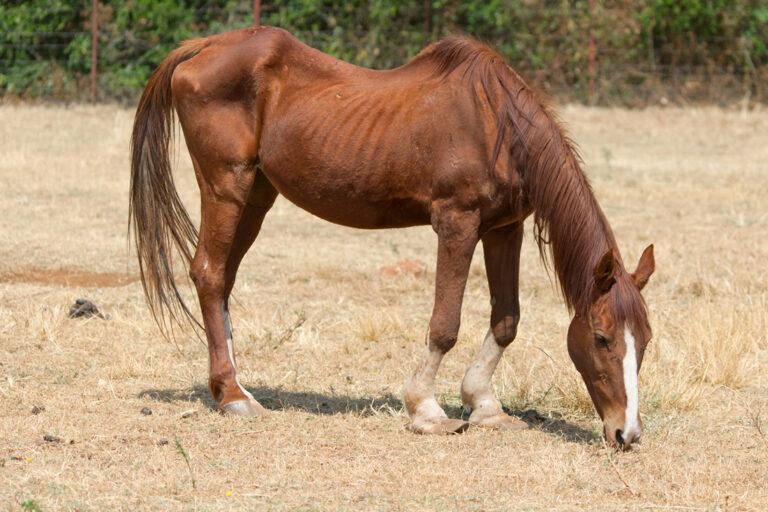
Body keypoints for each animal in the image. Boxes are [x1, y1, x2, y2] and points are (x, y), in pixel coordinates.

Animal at [129, 26, 655, 450]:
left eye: (646, 340)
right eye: (603, 338)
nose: (626, 434)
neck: (498, 126)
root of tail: (203, 47)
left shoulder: (506, 229)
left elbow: (506, 319)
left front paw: (484, 404)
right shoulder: (457, 223)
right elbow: (444, 325)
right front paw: (426, 410)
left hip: (257, 197)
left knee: (222, 280)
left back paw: (231, 387)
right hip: (226, 187)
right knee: (210, 274)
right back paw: (235, 396)